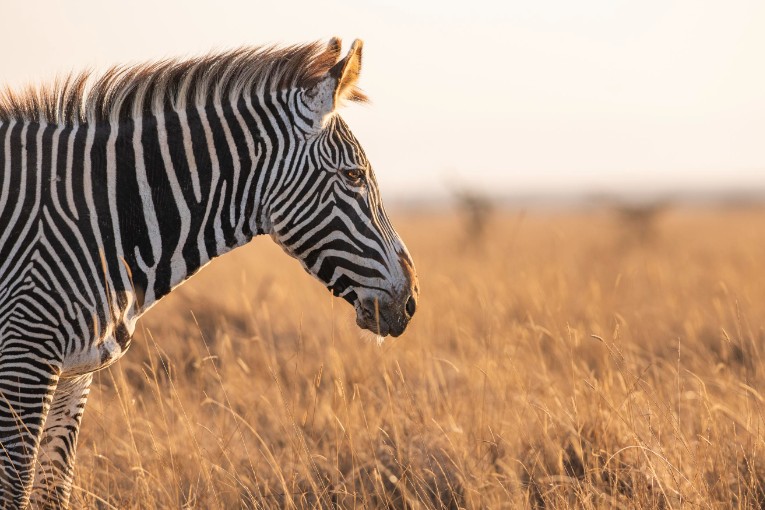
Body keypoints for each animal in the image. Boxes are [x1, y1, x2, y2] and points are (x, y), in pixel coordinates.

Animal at [0, 37, 418, 508]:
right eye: (353, 176)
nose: (411, 299)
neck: (98, 214)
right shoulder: (24, 357)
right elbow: (16, 488)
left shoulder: (75, 374)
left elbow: (54, 489)